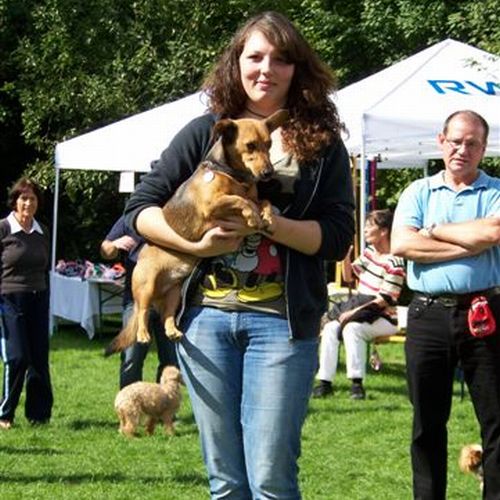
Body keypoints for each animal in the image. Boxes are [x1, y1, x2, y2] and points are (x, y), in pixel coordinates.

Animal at [105, 109, 288, 355]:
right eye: (250, 146)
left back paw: (172, 330)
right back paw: (143, 334)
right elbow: (240, 200)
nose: (268, 173)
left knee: (167, 316)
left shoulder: (252, 197)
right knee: (141, 312)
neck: (233, 176)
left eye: (269, 145)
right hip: (145, 285)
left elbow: (263, 201)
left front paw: (268, 217)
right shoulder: (212, 205)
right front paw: (252, 216)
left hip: (173, 294)